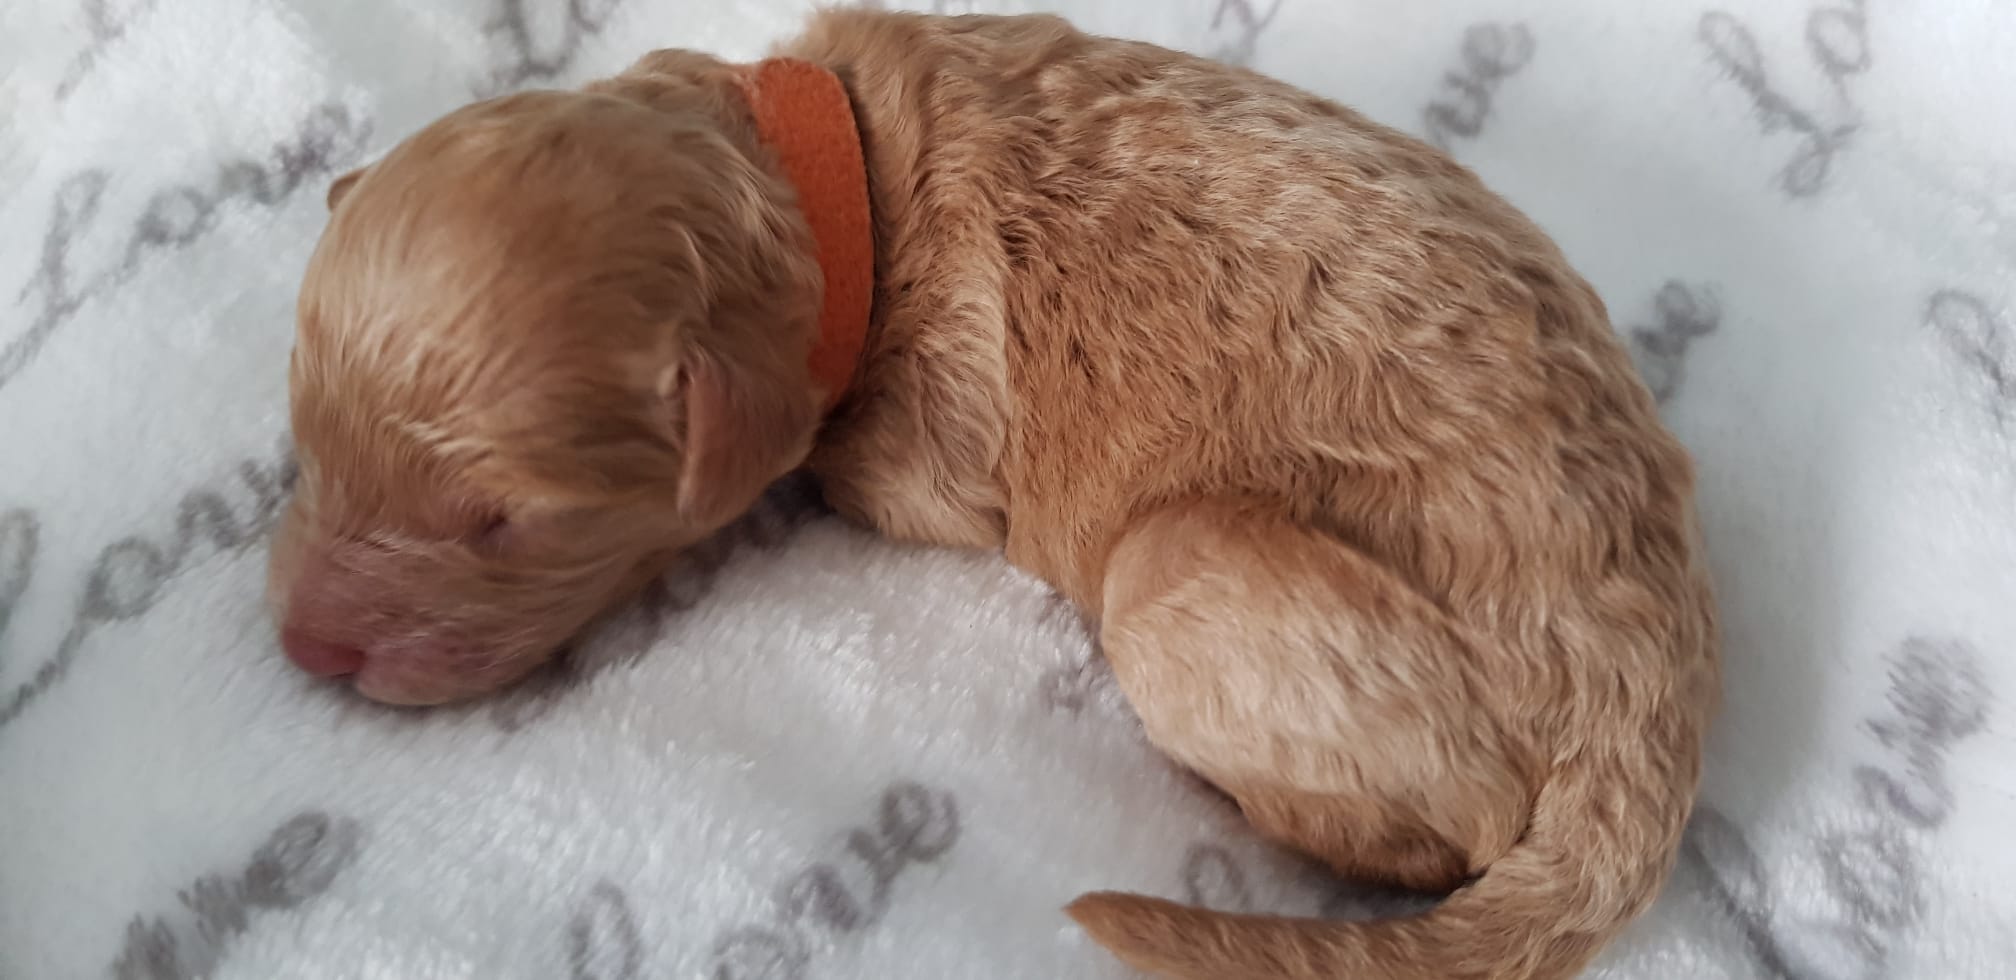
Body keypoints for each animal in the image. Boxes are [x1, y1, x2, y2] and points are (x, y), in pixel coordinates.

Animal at [270, 9, 1719, 979]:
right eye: (302, 439)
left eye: (505, 520)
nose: (303, 652)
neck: (830, 175)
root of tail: (1645, 733)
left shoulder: (927, 443)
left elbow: (864, 472)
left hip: (1187, 571)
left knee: (1439, 829)